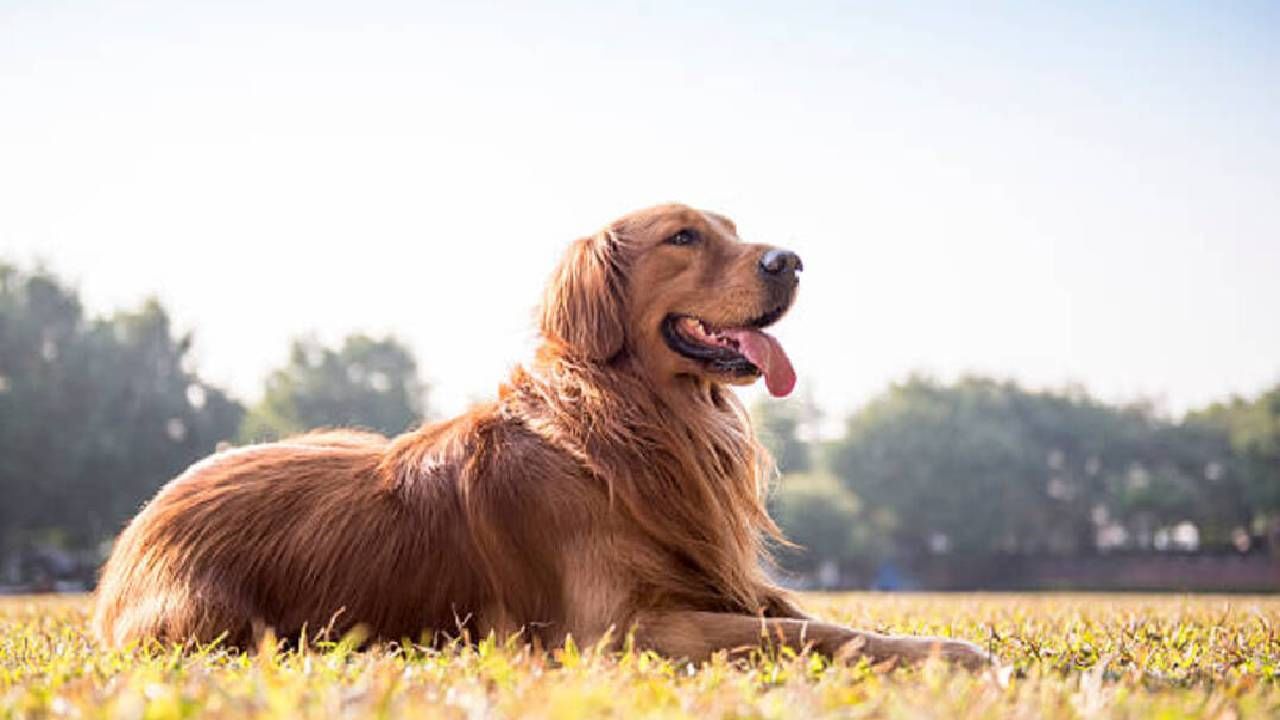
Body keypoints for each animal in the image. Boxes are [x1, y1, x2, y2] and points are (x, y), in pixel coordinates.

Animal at [92, 203, 988, 666]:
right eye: (684, 236)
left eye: (731, 229)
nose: (791, 261)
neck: (637, 421)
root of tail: (129, 542)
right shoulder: (622, 630)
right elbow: (810, 631)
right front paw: (959, 653)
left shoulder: (717, 582)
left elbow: (821, 617)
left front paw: (938, 640)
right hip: (215, 622)